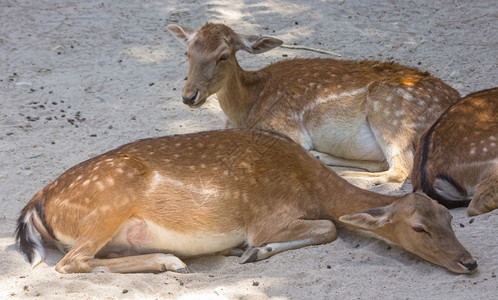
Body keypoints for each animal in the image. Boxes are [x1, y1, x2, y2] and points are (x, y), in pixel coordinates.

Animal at [14, 129, 474, 274]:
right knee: (70, 263)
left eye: (451, 221)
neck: (310, 186)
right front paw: (253, 251)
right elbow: (328, 228)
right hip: (106, 208)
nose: (469, 262)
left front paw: (246, 251)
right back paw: (169, 261)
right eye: (419, 228)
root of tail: (37, 203)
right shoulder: (267, 218)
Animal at [166, 22, 460, 185]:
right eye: (188, 53)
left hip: (389, 111)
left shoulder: (285, 127)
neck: (248, 107)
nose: (189, 95)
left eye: (223, 55)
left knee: (401, 169)